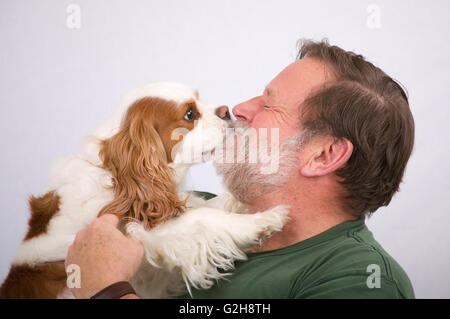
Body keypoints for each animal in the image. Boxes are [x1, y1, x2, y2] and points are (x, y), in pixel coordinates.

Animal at [0, 83, 288, 300]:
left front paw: (244, 200)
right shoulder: (143, 232)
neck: (115, 178)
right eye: (189, 114)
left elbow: (208, 205)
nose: (226, 111)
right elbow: (203, 218)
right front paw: (263, 221)